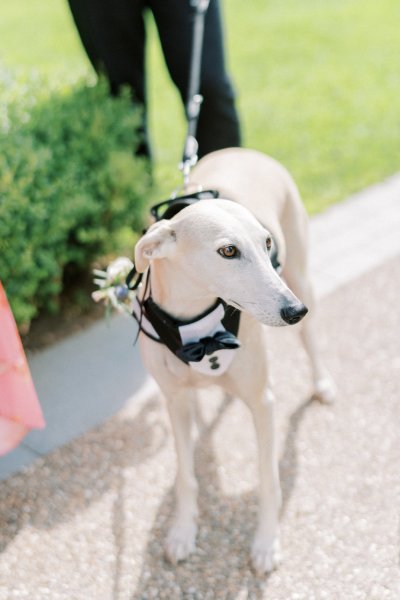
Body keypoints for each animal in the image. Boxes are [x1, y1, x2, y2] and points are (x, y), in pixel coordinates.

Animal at [134, 148, 334, 576]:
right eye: (228, 251)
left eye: (266, 243)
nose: (294, 311)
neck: (196, 328)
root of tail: (242, 151)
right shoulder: (172, 400)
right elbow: (185, 475)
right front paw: (182, 531)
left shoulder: (262, 402)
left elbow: (268, 477)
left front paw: (266, 543)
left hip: (300, 273)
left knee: (311, 340)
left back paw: (323, 383)